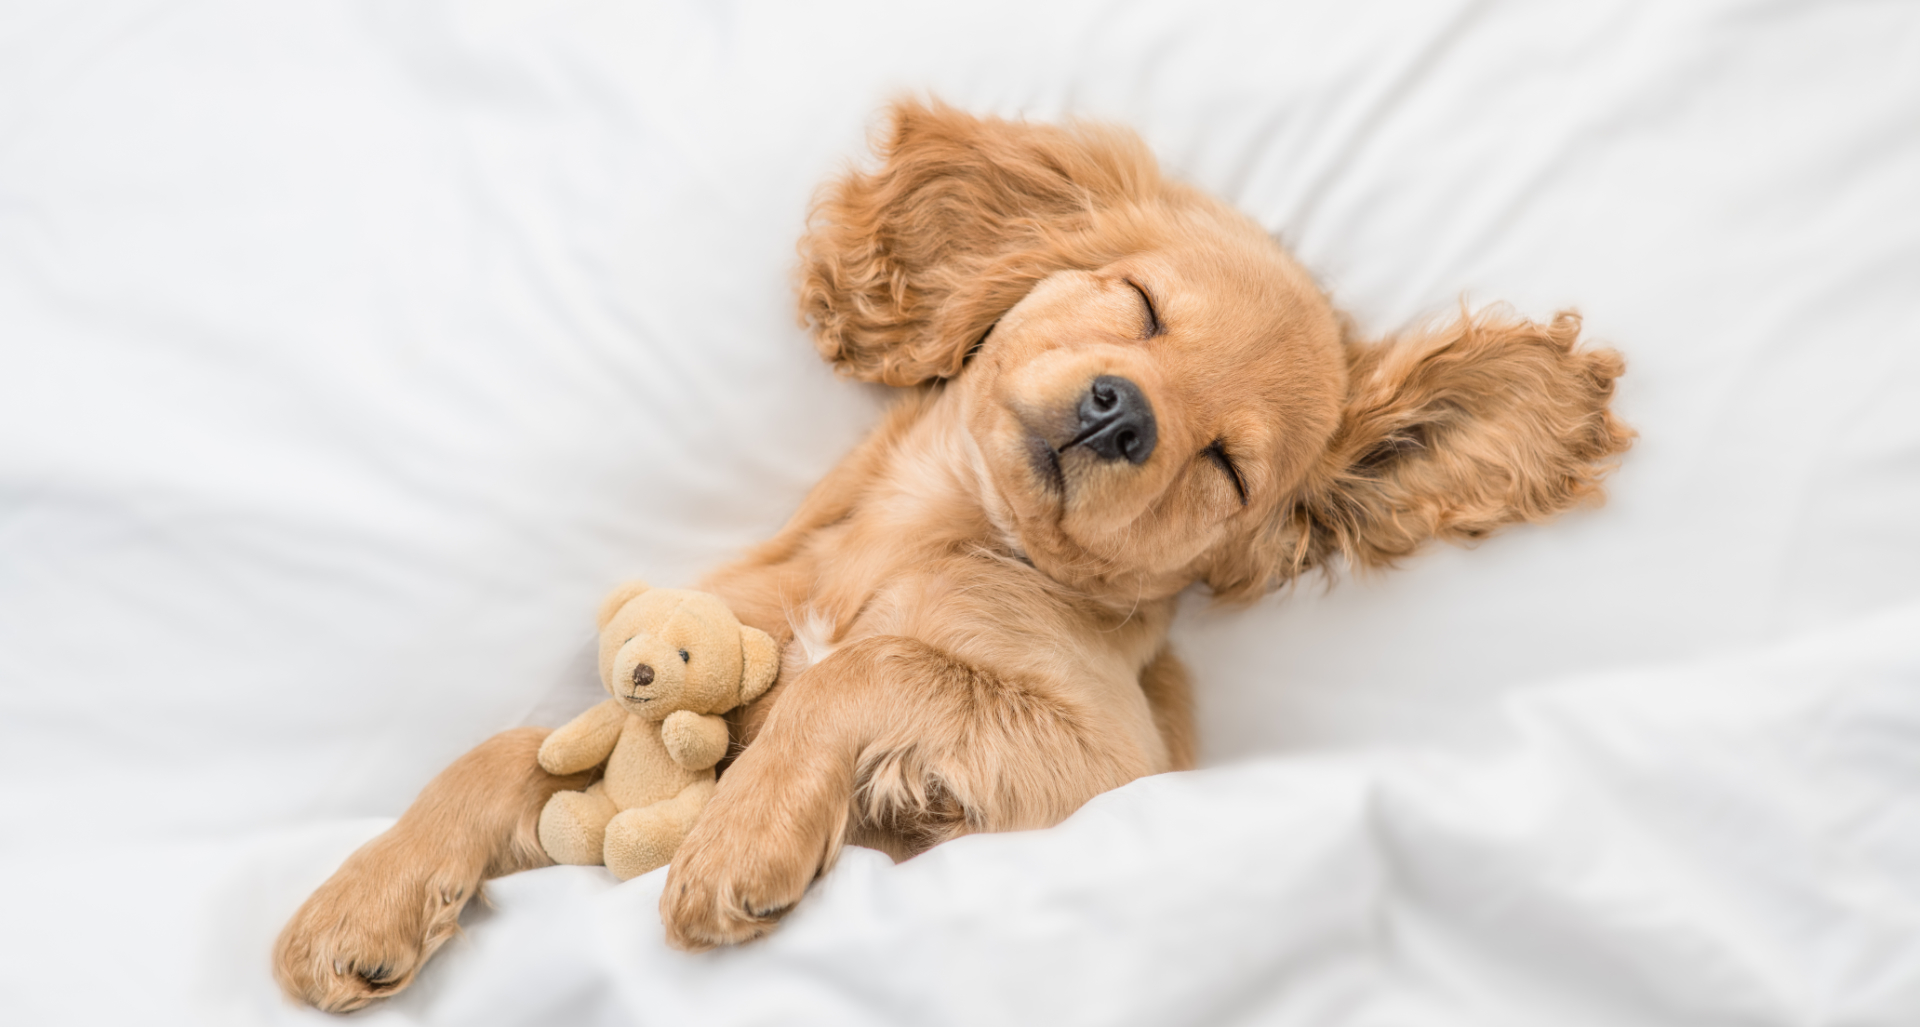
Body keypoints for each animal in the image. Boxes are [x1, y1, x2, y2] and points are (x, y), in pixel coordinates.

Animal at [274, 98, 1635, 1013]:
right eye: (1140, 306)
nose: (1122, 417)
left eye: (1228, 466)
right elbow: (504, 751)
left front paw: (746, 834)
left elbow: (869, 671)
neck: (925, 532)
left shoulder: (1102, 774)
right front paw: (366, 895)